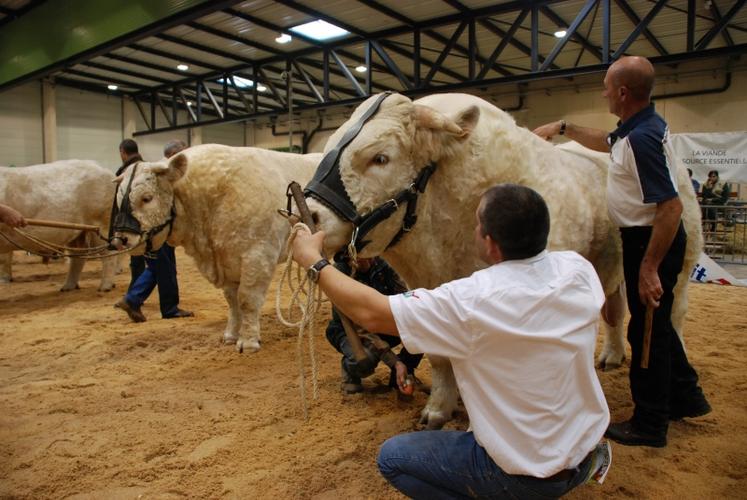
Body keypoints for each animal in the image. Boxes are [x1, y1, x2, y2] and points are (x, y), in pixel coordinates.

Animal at [0, 160, 117, 292]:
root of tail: (102, 168)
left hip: (101, 222)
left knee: (108, 253)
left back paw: (105, 287)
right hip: (78, 231)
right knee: (78, 257)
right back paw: (67, 287)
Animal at [112, 142, 322, 352]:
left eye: (147, 198)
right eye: (119, 199)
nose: (121, 239)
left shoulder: (259, 255)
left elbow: (247, 300)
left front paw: (248, 342)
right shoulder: (226, 260)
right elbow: (232, 300)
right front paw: (231, 335)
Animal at [302, 92, 700, 428]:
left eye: (380, 157)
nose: (308, 213)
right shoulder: (424, 294)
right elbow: (440, 358)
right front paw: (439, 409)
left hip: (678, 263)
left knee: (673, 318)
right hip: (610, 267)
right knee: (615, 309)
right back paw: (612, 355)